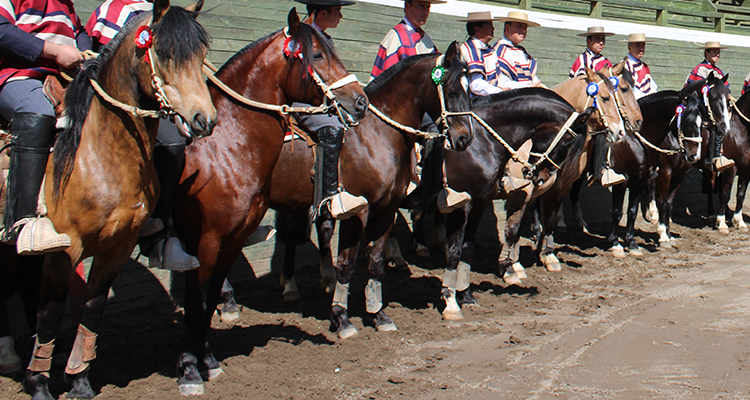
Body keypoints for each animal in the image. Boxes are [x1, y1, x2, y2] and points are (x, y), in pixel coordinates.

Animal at [5, 1, 217, 398]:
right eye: (163, 53)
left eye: (201, 56)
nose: (204, 119)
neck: (99, 154)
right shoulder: (65, 251)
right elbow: (50, 313)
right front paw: (39, 384)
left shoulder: (116, 248)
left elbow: (92, 310)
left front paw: (79, 380)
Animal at [171, 9, 370, 396]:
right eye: (318, 55)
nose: (360, 101)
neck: (224, 145)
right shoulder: (203, 242)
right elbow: (196, 301)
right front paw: (189, 369)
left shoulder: (230, 241)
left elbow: (207, 299)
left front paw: (208, 361)